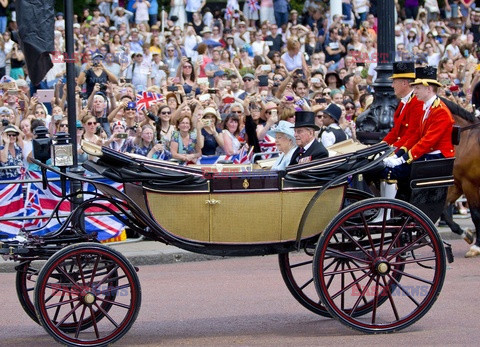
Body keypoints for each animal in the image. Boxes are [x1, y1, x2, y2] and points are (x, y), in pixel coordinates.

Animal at [440, 98, 480, 258]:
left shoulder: (470, 184)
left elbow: (476, 214)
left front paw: (476, 246)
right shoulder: (457, 184)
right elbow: (444, 211)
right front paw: (466, 234)